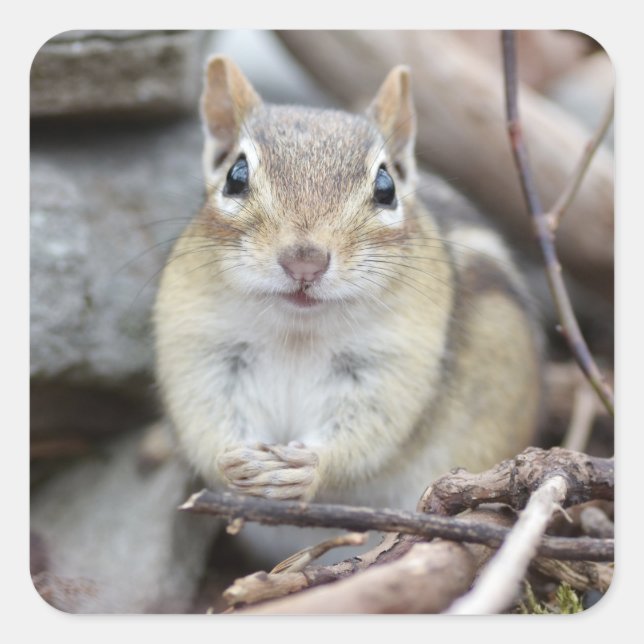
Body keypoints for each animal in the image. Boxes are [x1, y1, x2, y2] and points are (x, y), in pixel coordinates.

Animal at [154, 56, 542, 556]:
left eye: (386, 186)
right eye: (235, 176)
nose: (304, 260)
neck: (297, 333)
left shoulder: (391, 364)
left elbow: (368, 436)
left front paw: (308, 469)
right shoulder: (203, 349)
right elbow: (203, 421)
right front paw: (231, 461)